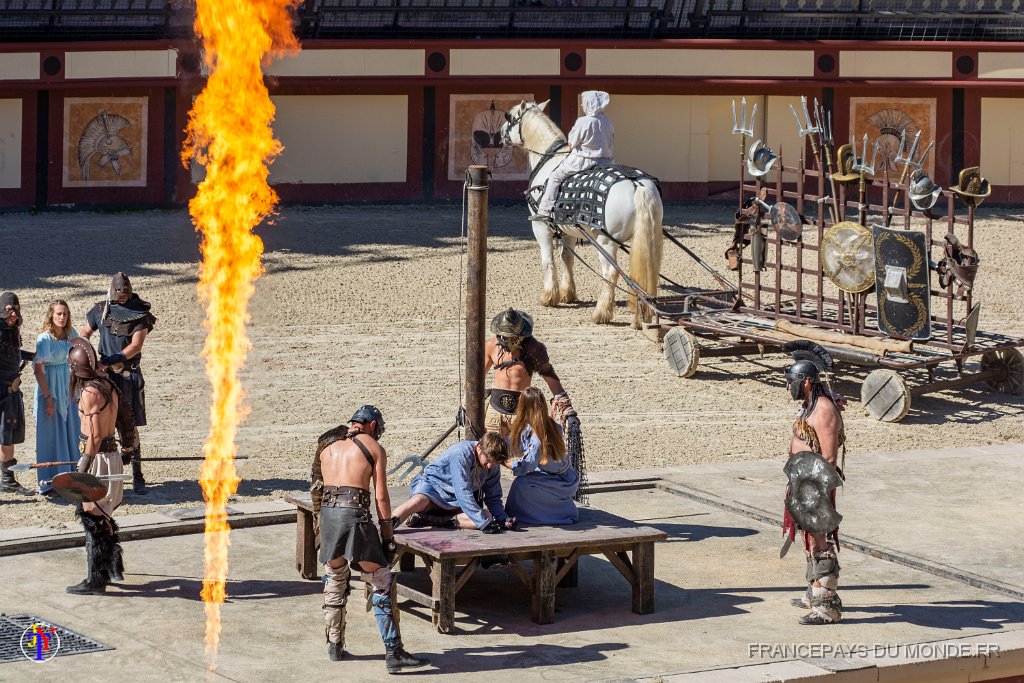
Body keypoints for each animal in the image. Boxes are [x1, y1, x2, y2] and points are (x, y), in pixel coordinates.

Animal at [501, 98, 663, 327]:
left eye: (510, 116)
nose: (500, 133)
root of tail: (636, 183)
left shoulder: (540, 227)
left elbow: (548, 259)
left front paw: (549, 296)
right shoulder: (568, 230)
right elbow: (567, 258)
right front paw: (568, 293)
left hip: (606, 242)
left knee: (610, 274)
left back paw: (601, 313)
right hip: (647, 239)